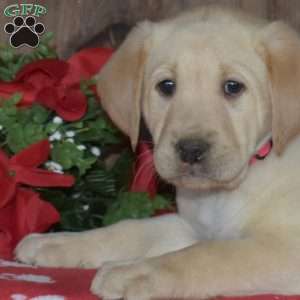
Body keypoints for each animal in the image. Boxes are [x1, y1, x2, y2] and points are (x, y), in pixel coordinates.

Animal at [15, 6, 300, 300]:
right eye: (166, 86)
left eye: (233, 87)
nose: (191, 149)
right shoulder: (192, 227)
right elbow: (133, 228)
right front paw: (61, 241)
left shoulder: (285, 249)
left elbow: (205, 255)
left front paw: (134, 272)